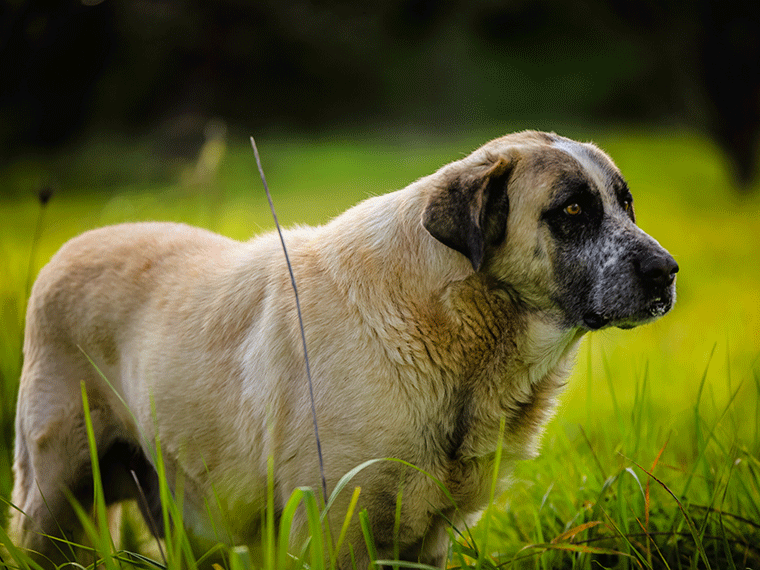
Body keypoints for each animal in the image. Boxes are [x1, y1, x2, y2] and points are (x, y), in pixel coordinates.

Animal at [10, 131, 676, 564]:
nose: (667, 272)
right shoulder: (331, 527)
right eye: (573, 209)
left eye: (626, 203)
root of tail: (67, 250)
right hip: (54, 499)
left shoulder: (427, 541)